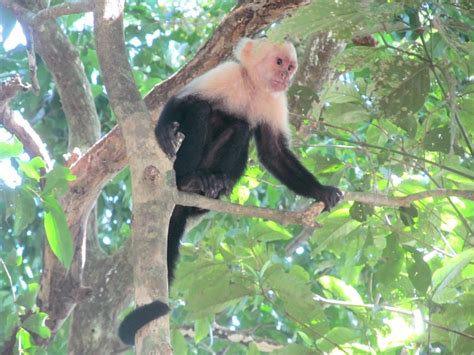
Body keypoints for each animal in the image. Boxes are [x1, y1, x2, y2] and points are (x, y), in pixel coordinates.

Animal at [117, 37, 340, 346]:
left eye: (290, 66)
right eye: (279, 62)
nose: (286, 76)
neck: (253, 85)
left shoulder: (275, 100)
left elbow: (274, 153)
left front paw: (321, 191)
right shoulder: (227, 73)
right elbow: (180, 100)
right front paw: (163, 130)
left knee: (241, 127)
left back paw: (214, 185)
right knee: (199, 109)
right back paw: (187, 180)